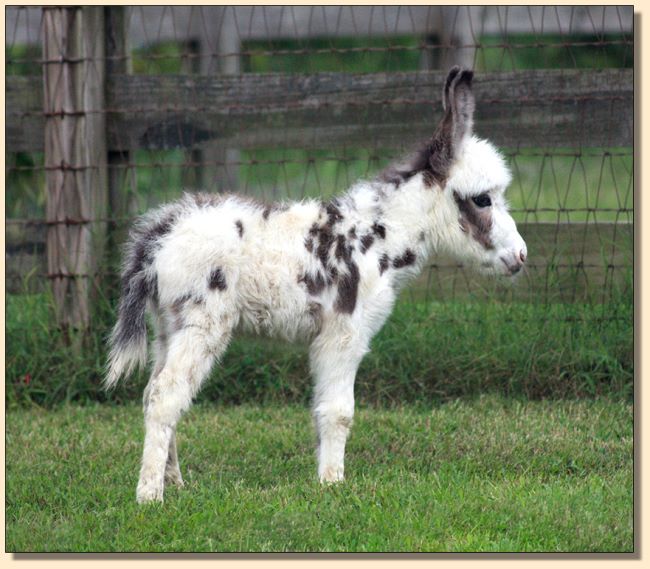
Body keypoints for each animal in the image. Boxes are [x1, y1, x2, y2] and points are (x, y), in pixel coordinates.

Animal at [104, 67, 524, 502]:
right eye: (482, 200)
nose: (521, 257)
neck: (377, 239)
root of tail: (159, 231)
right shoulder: (343, 334)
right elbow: (338, 412)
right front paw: (333, 482)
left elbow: (324, 409)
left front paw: (326, 477)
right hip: (202, 324)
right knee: (166, 396)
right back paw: (150, 495)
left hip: (168, 327)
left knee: (152, 392)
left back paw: (174, 481)